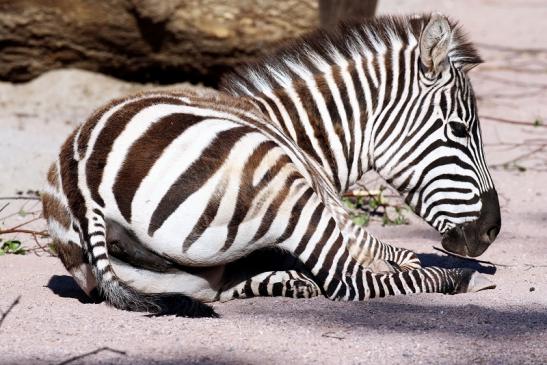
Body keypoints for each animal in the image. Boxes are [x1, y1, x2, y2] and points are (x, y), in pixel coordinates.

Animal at [41, 14, 500, 316]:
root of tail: (83, 183)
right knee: (350, 281)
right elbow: (400, 257)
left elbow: (396, 254)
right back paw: (463, 279)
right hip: (283, 186)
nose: (492, 231)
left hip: (181, 276)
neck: (297, 131)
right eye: (460, 130)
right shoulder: (333, 209)